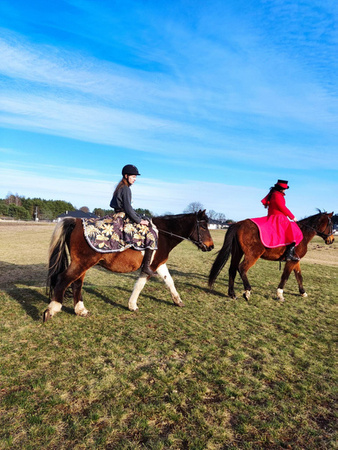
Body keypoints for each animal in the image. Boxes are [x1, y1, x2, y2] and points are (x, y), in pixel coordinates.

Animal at [43, 209, 213, 322]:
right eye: (203, 226)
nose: (211, 246)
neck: (163, 234)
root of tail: (77, 221)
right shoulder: (151, 266)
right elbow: (140, 285)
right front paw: (132, 305)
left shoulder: (159, 264)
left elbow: (169, 281)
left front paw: (178, 301)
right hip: (83, 263)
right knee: (63, 279)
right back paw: (52, 310)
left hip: (82, 264)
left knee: (76, 283)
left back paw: (81, 310)